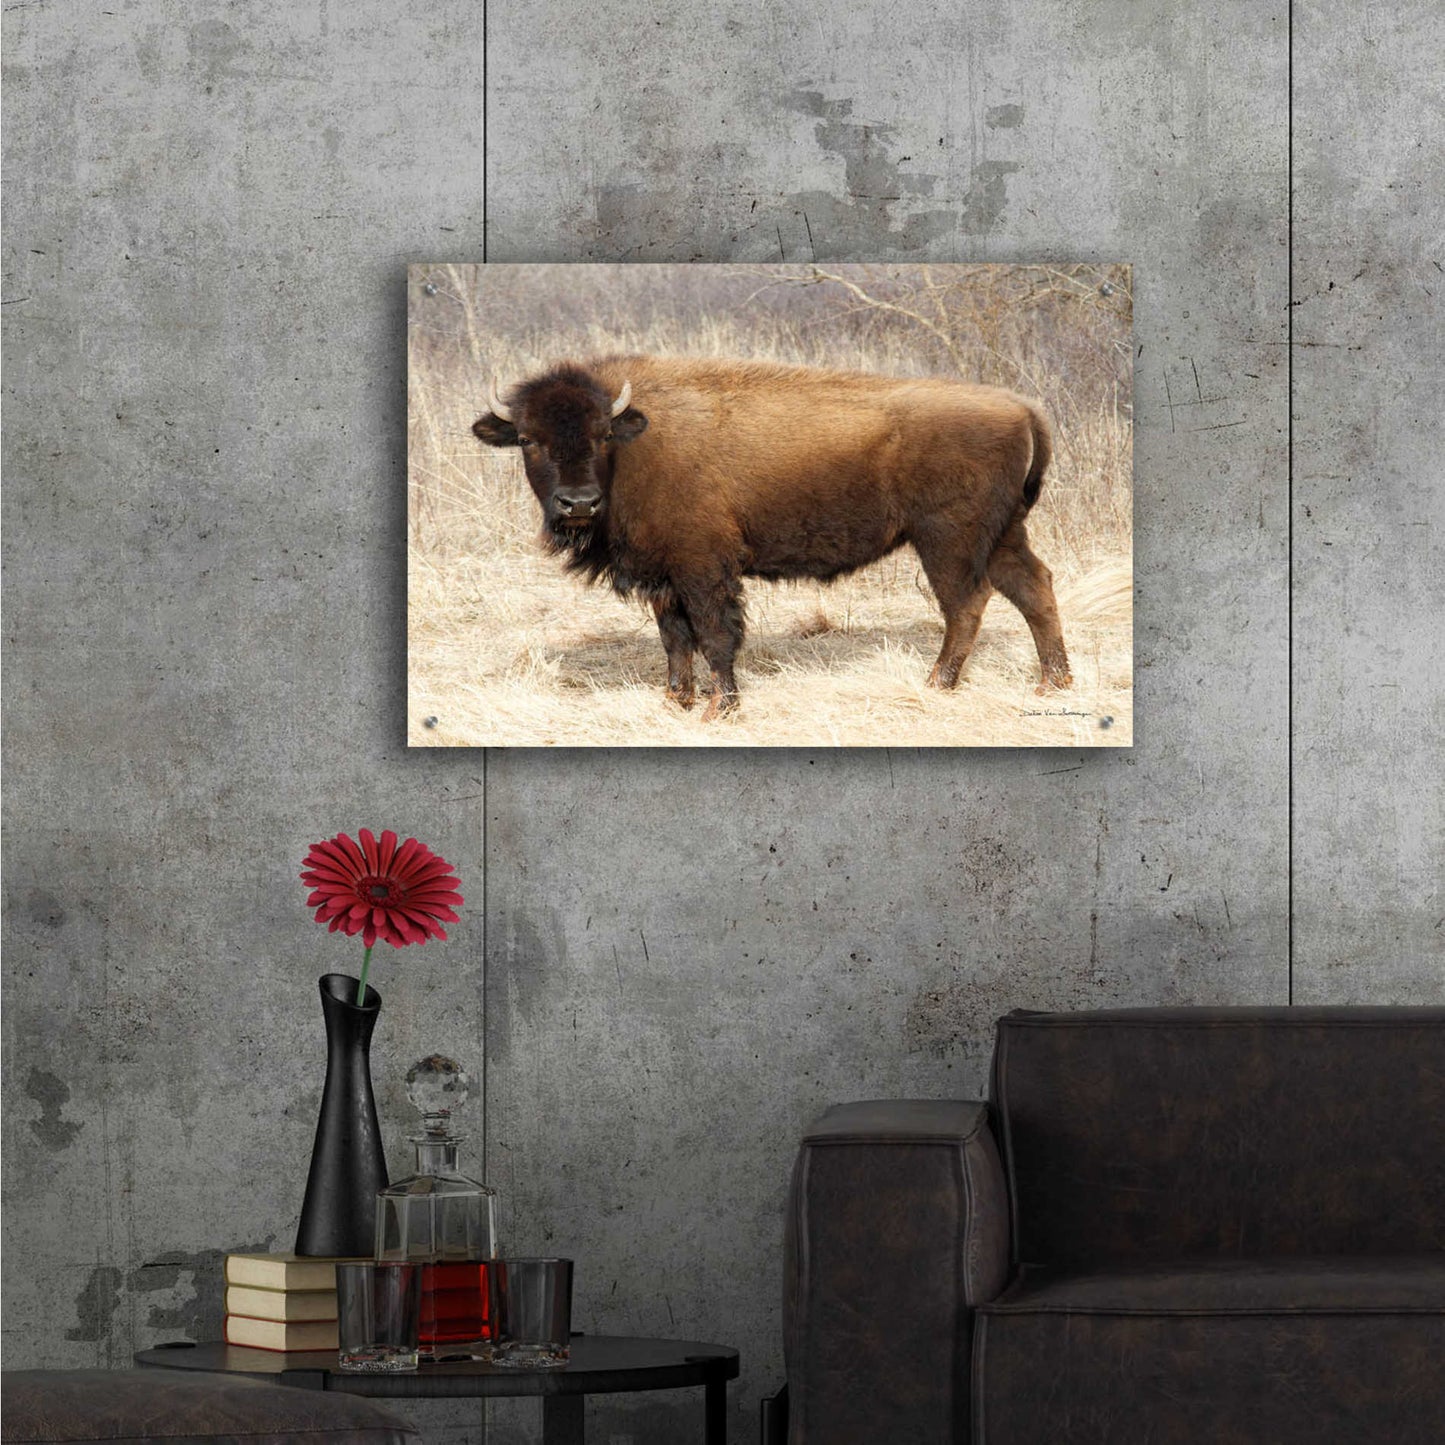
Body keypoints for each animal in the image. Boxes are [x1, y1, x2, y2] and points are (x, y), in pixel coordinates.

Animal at [473, 356, 1072, 720]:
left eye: (601, 435)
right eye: (527, 438)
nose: (578, 503)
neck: (635, 444)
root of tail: (1022, 407)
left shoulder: (703, 568)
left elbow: (714, 635)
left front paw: (719, 709)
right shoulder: (663, 577)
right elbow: (675, 639)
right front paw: (675, 703)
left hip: (948, 540)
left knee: (967, 603)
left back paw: (937, 684)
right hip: (1003, 535)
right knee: (1035, 589)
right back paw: (1053, 684)